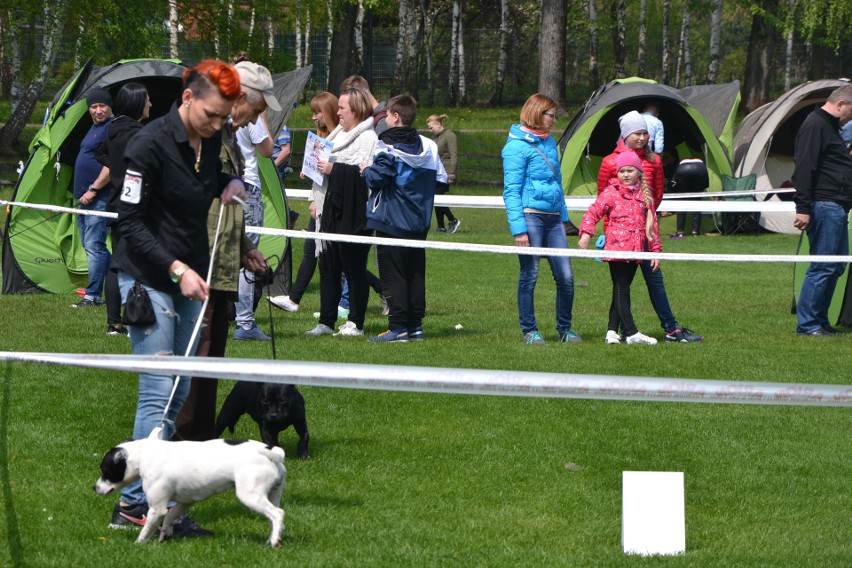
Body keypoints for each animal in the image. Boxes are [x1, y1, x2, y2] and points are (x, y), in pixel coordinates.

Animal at [93, 440, 286, 544]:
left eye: (105, 471)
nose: (94, 487)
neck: (145, 454)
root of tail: (272, 454)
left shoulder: (157, 509)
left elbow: (147, 529)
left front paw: (138, 544)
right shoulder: (184, 502)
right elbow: (170, 518)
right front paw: (164, 536)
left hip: (251, 496)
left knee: (277, 513)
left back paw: (275, 542)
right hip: (271, 495)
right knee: (273, 518)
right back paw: (272, 539)